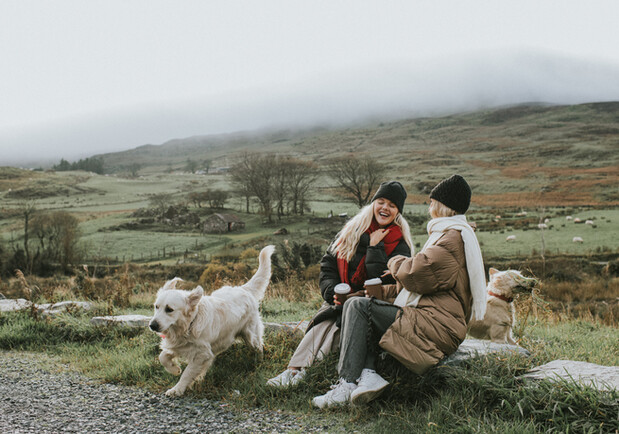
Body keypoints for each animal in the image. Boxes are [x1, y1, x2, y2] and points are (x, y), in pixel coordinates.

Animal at [148, 244, 274, 396]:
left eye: (169, 309)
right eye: (156, 307)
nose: (152, 325)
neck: (189, 325)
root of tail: (243, 289)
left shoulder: (201, 354)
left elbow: (187, 373)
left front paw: (177, 389)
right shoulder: (179, 345)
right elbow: (162, 356)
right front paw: (174, 368)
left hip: (251, 335)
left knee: (259, 346)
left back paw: (258, 361)